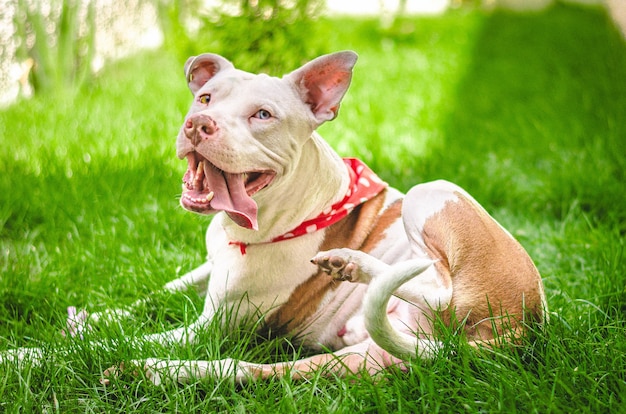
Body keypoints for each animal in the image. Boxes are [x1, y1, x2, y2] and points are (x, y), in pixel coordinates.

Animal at [0, 51, 544, 384]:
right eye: (205, 98)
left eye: (262, 115)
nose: (199, 123)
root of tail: (524, 325)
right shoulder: (208, 269)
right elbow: (155, 294)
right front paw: (89, 319)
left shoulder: (208, 329)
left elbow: (105, 341)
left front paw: (26, 354)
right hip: (361, 358)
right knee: (246, 371)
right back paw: (150, 372)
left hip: (433, 195)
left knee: (439, 289)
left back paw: (351, 264)